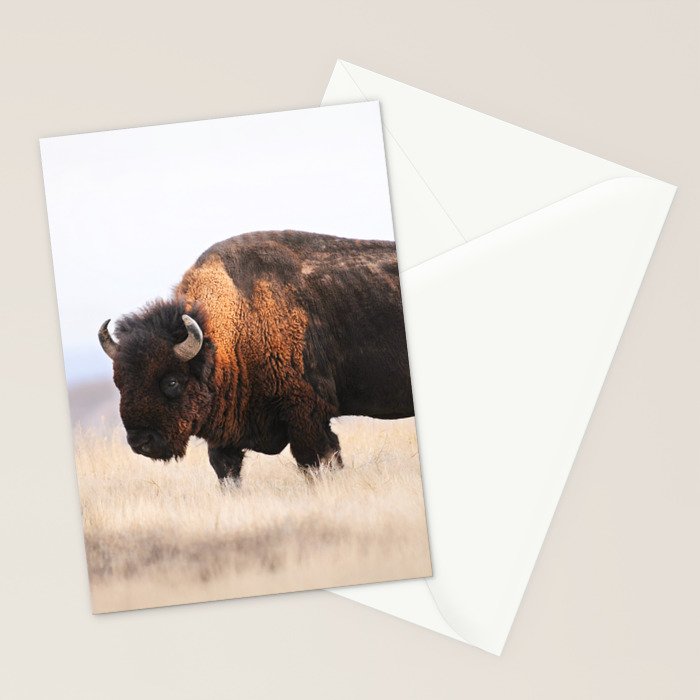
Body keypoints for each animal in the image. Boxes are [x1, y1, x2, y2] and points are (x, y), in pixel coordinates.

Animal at [99, 231, 414, 481]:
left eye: (172, 381)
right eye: (119, 383)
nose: (141, 441)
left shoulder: (306, 416)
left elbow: (316, 460)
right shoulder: (225, 434)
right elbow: (225, 470)